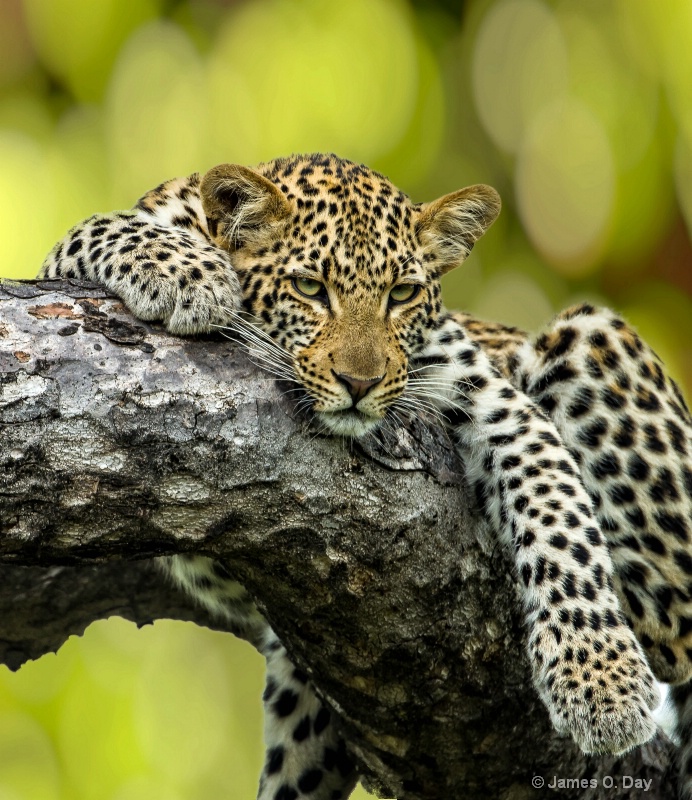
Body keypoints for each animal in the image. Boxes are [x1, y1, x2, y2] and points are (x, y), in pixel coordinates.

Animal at [40, 152, 692, 800]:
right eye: (310, 288)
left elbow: (558, 512)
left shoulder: (493, 398)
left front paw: (603, 682)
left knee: (670, 631)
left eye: (401, 295)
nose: (360, 383)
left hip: (591, 337)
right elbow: (94, 228)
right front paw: (187, 274)